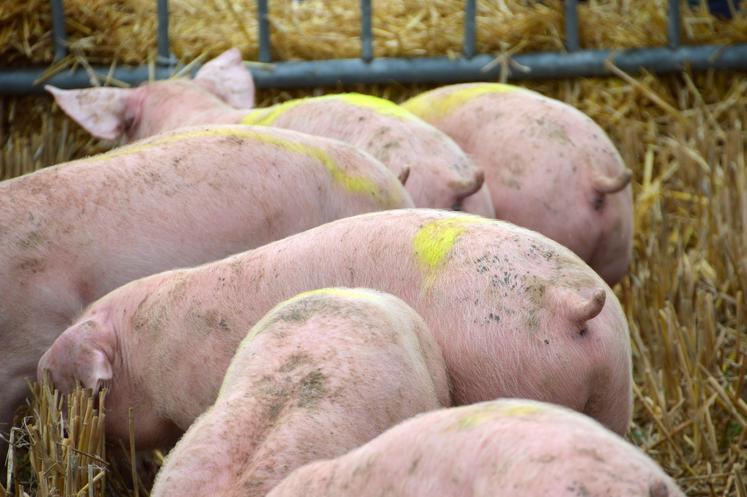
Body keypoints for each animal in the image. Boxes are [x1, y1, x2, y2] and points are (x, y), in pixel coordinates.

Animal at [39, 209, 632, 450]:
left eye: (61, 382)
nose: (41, 367)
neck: (147, 346)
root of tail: (572, 302)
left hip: (507, 376)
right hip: (613, 391)